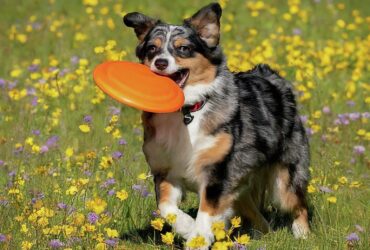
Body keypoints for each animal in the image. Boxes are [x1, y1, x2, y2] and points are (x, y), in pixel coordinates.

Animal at [123, 2, 310, 246]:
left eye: (183, 48)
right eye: (152, 48)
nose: (161, 62)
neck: (186, 113)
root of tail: (270, 75)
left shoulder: (218, 174)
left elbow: (206, 213)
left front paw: (198, 239)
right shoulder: (165, 171)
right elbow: (166, 207)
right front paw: (188, 228)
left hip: (285, 174)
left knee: (297, 202)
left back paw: (302, 234)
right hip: (239, 182)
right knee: (255, 213)